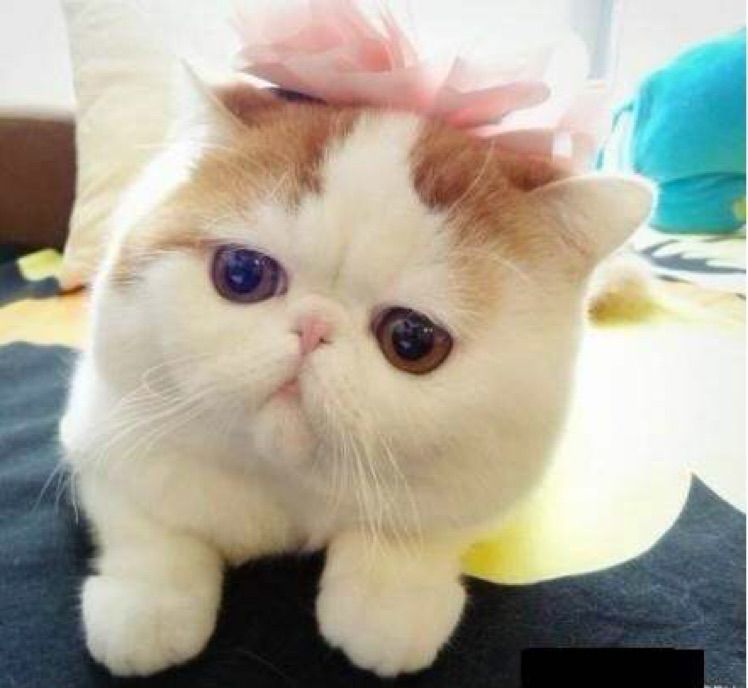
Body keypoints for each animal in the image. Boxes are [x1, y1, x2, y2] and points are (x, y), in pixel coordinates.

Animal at [60, 71, 651, 678]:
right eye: (242, 274)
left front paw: (387, 604)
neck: (288, 485)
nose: (314, 327)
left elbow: (420, 528)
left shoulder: (491, 479)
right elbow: (151, 521)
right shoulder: (104, 424)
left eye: (412, 340)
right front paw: (147, 607)